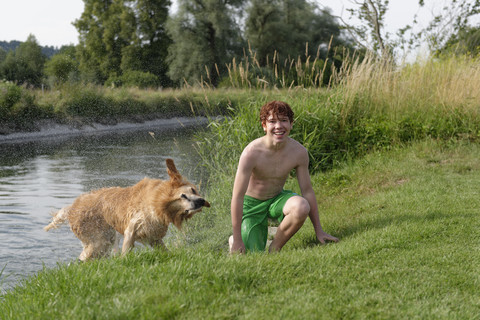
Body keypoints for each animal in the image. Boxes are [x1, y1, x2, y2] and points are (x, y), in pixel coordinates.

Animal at [44, 159, 209, 262]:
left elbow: (165, 250)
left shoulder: (154, 237)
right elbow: (126, 252)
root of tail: (71, 208)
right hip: (99, 241)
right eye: (188, 192)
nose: (201, 201)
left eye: (195, 190)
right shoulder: (132, 229)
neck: (160, 203)